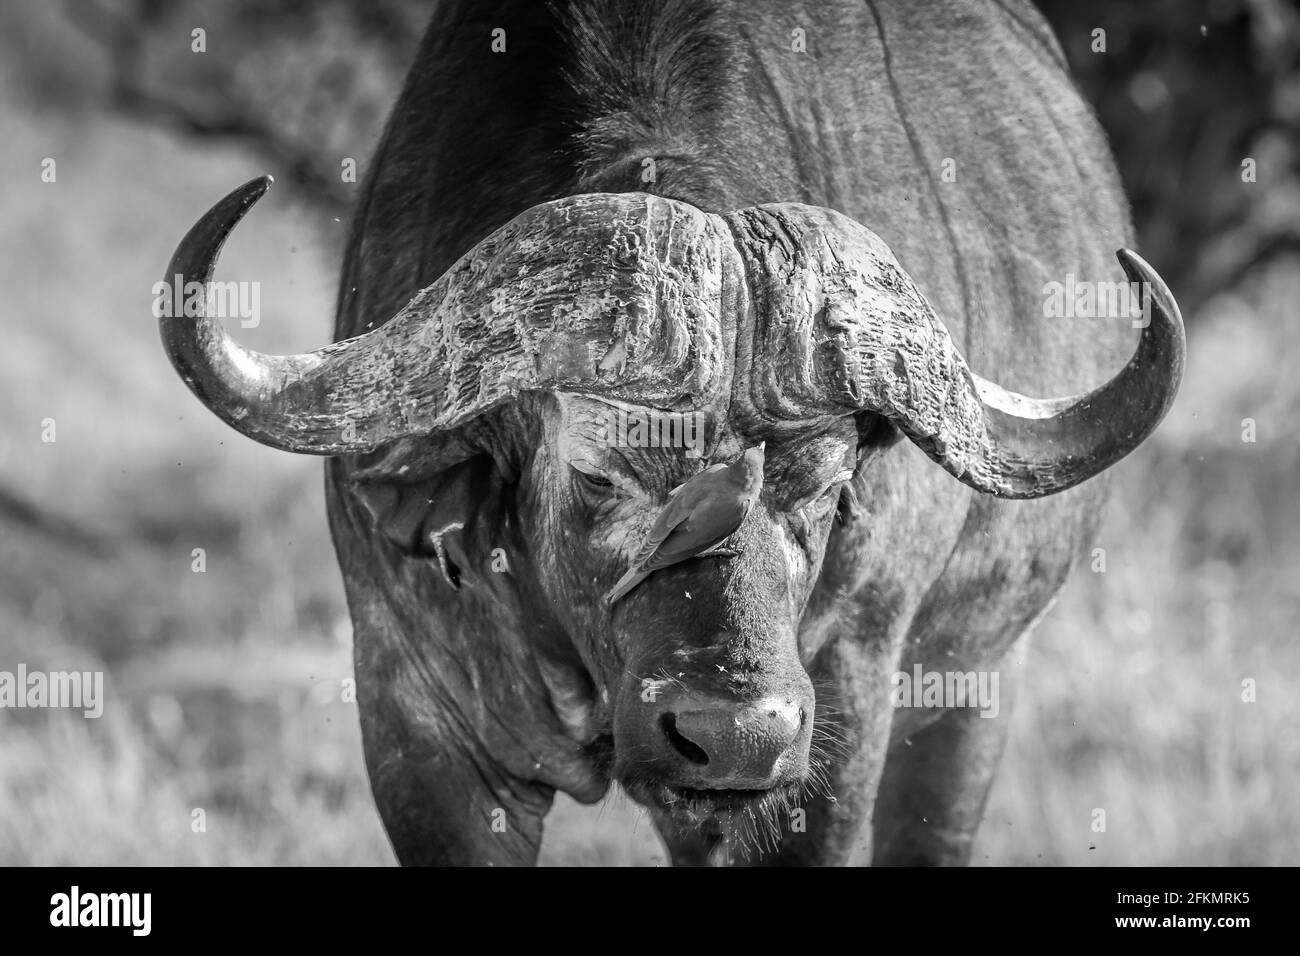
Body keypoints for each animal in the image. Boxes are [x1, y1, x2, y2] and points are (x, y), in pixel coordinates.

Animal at [159, 0, 1180, 868]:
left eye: (828, 490)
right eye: (601, 476)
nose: (735, 732)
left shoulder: (844, 714)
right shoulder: (416, 715)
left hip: (972, 688)